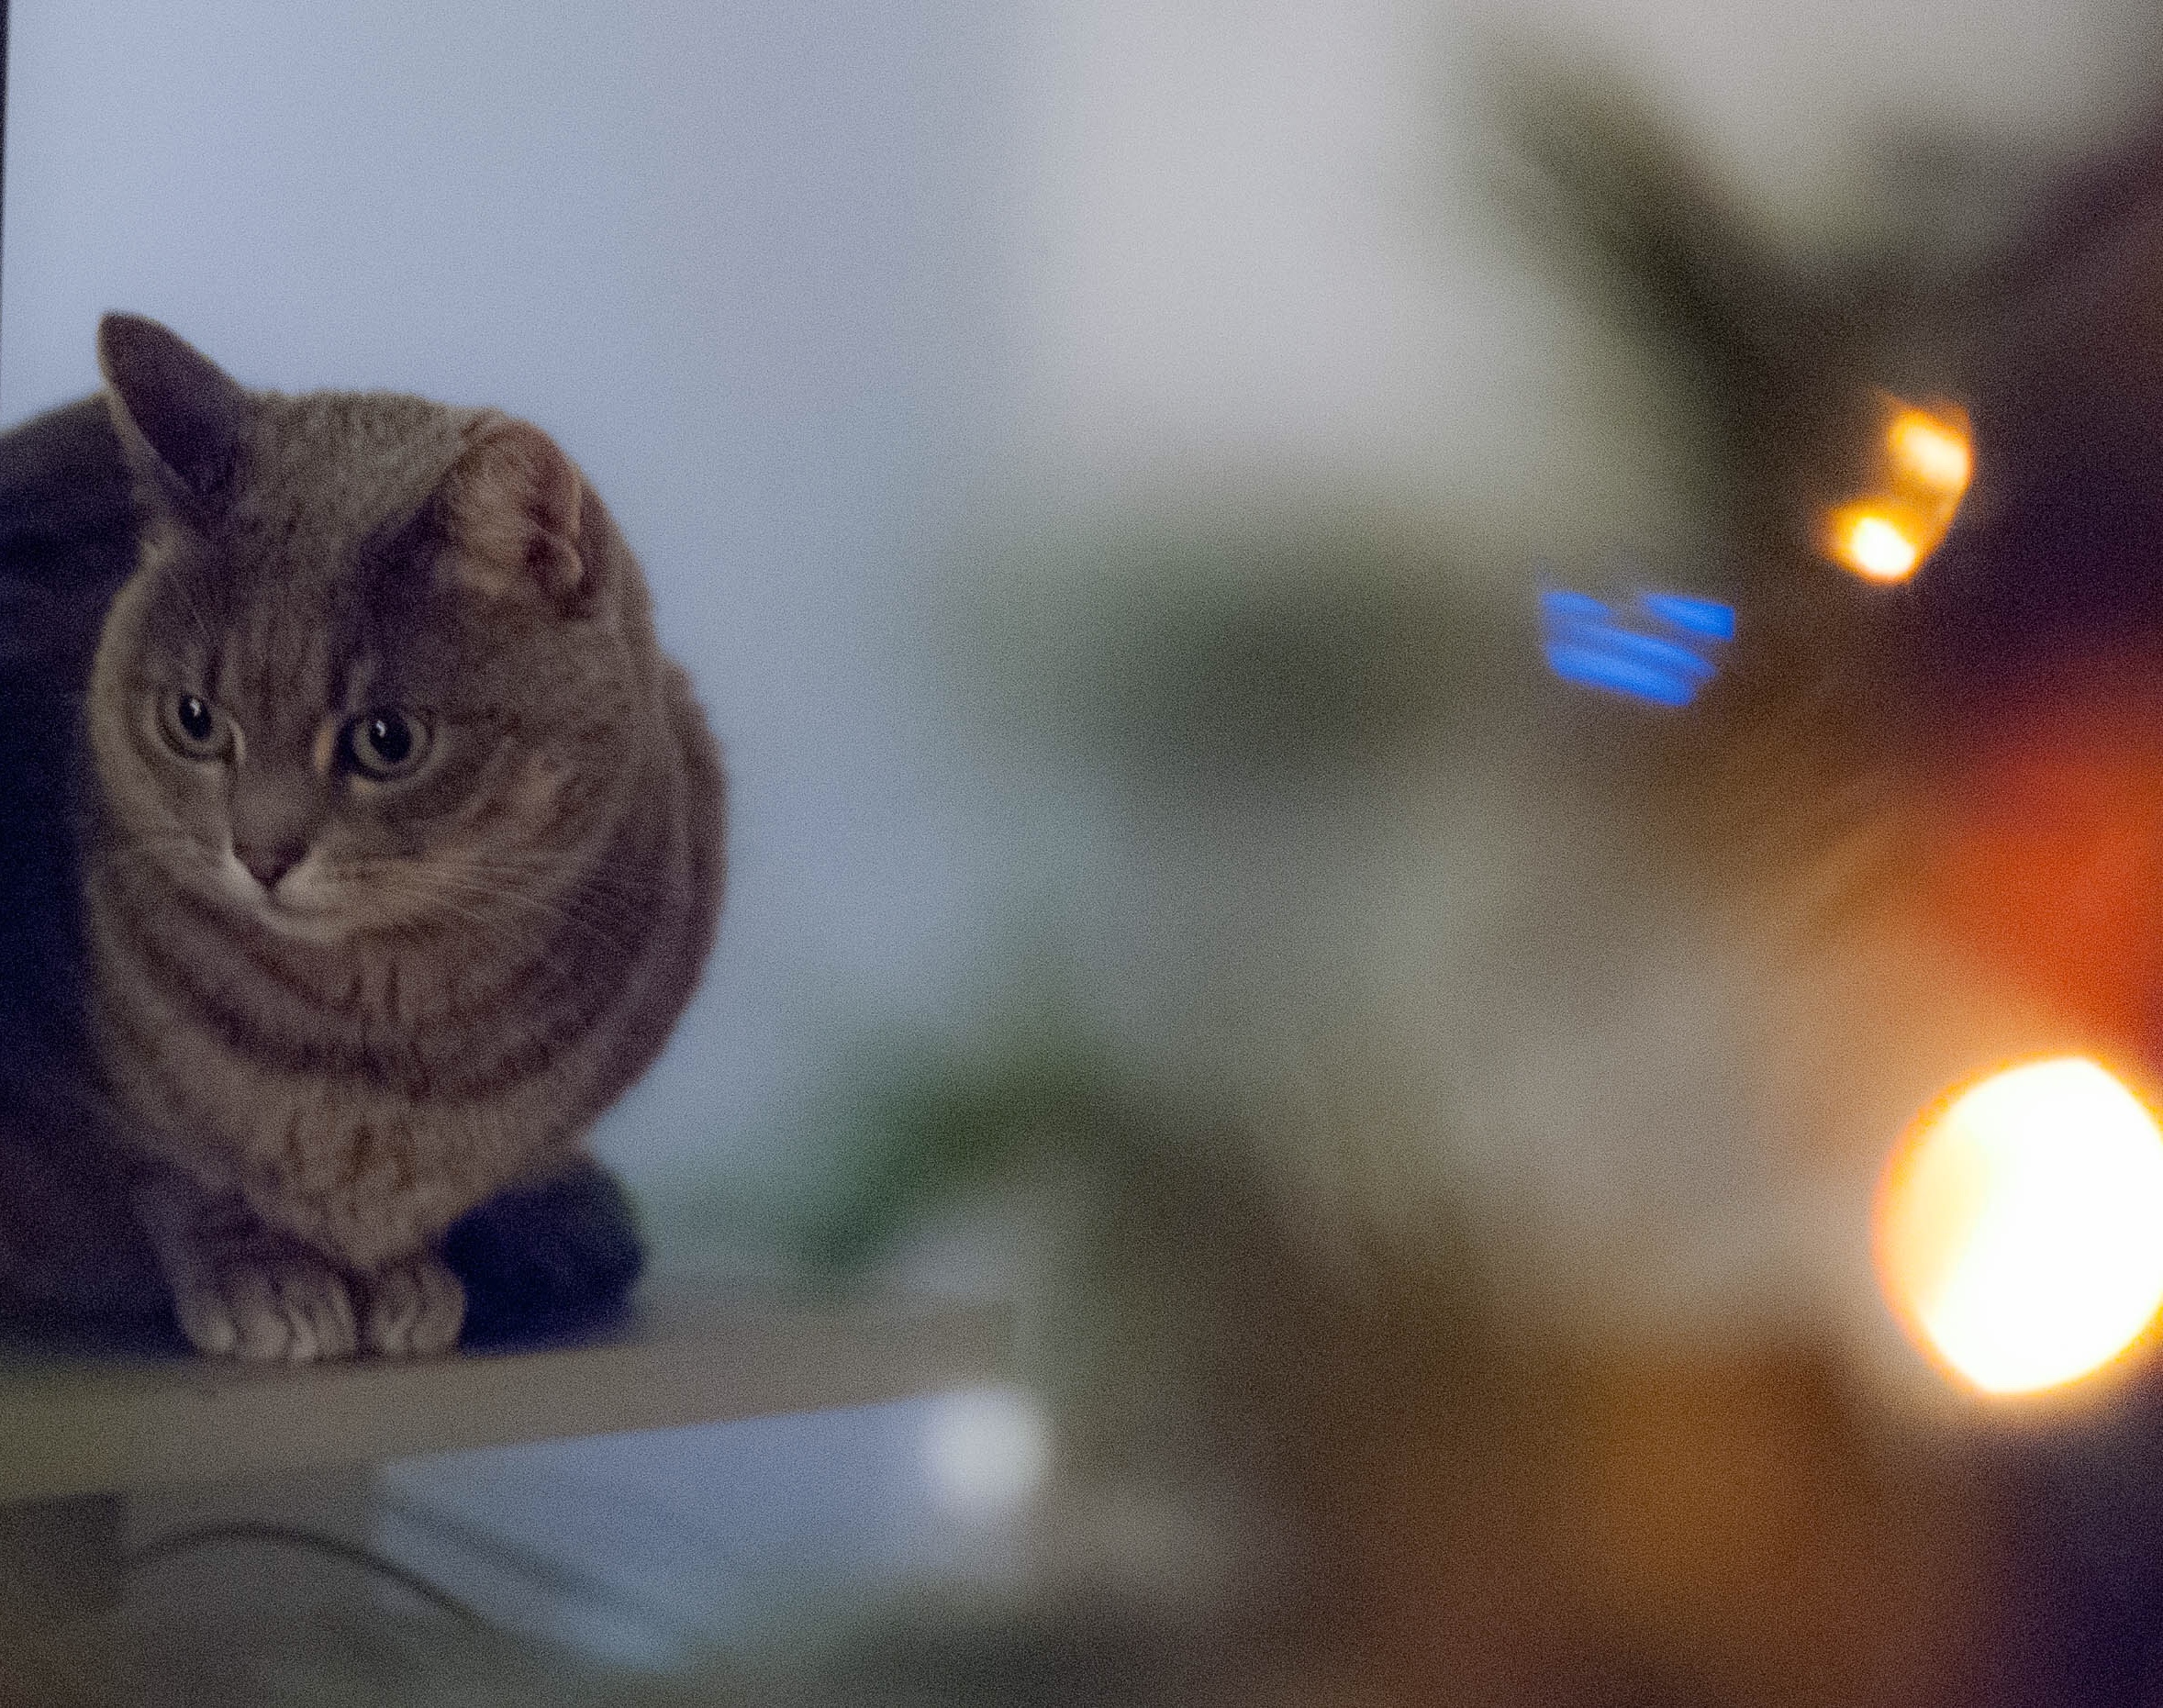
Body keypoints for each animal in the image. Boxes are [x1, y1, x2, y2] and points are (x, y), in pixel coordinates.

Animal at [0, 318, 726, 1366]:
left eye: (388, 740)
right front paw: (265, 1275)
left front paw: (406, 1277)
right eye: (193, 720)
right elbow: (177, 1173)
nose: (260, 854)